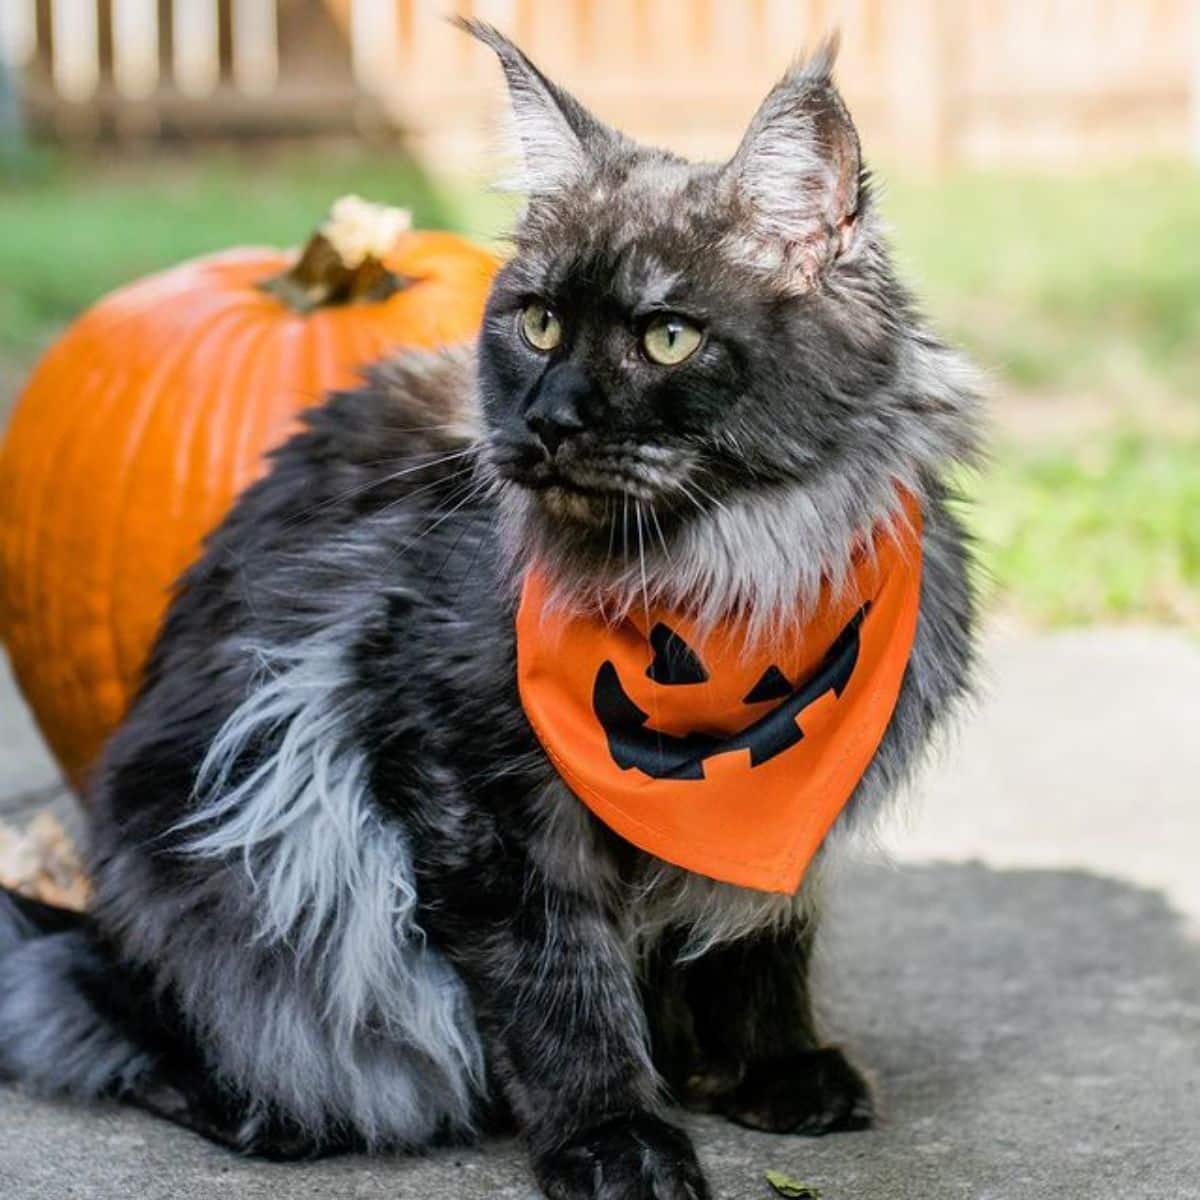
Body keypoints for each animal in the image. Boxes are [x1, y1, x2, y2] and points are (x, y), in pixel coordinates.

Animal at [0, 21, 984, 1200]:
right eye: (541, 323)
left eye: (667, 339)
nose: (550, 419)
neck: (738, 575)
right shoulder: (472, 788)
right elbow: (561, 990)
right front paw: (617, 1138)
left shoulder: (787, 807)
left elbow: (760, 934)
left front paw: (772, 1072)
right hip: (249, 874)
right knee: (150, 1026)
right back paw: (260, 1108)